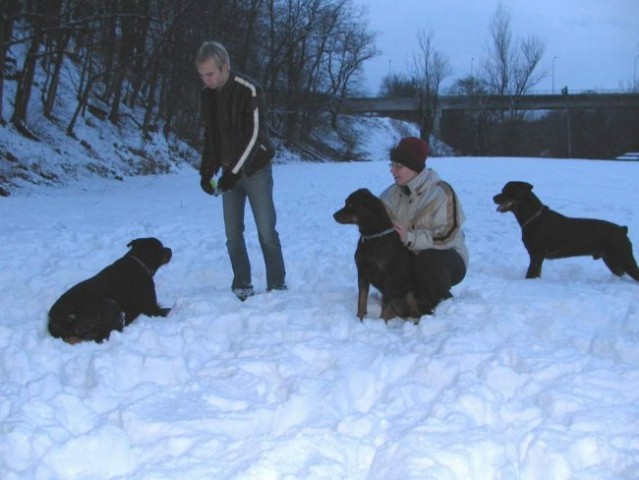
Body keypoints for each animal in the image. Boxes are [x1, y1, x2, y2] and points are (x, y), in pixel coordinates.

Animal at [336, 188, 424, 322]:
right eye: (346, 202)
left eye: (350, 204)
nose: (334, 215)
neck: (373, 237)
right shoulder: (362, 272)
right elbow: (362, 300)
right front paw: (359, 319)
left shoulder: (389, 277)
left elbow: (385, 305)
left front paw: (382, 323)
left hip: (410, 293)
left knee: (416, 312)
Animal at [496, 181, 639, 280]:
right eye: (502, 190)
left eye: (508, 190)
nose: (493, 197)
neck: (533, 217)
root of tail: (623, 230)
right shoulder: (536, 257)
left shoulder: (537, 256)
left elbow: (530, 274)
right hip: (611, 261)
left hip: (624, 258)